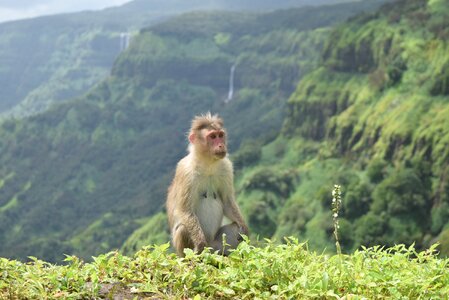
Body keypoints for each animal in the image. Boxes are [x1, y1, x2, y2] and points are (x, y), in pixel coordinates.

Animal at [165, 111, 247, 256]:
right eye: (212, 136)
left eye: (220, 135)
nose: (221, 145)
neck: (208, 165)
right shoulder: (185, 172)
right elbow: (185, 210)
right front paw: (200, 244)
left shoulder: (226, 167)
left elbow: (227, 201)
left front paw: (244, 228)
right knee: (183, 228)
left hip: (218, 245)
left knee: (235, 230)